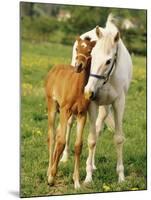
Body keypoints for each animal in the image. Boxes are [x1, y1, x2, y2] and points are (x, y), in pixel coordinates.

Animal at [44, 37, 96, 189]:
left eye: (89, 50)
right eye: (77, 49)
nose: (78, 66)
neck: (78, 89)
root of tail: (54, 69)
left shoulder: (81, 114)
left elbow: (78, 145)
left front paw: (77, 182)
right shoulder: (65, 110)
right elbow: (61, 142)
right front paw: (51, 177)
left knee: (58, 135)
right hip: (53, 106)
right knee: (52, 136)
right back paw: (49, 170)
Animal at [84, 15, 133, 183]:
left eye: (108, 61)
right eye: (92, 56)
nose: (88, 92)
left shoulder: (118, 103)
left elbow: (118, 138)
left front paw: (121, 177)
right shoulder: (92, 104)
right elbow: (91, 140)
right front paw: (88, 178)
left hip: (105, 108)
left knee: (99, 128)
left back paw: (92, 164)